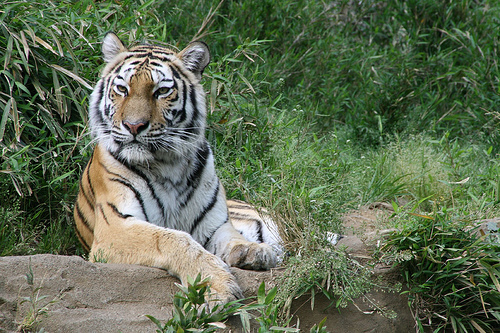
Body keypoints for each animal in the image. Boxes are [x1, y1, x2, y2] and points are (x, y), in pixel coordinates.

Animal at [75, 31, 282, 304]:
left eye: (162, 91)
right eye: (122, 89)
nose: (133, 125)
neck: (167, 165)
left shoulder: (214, 224)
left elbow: (232, 238)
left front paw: (254, 251)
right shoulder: (114, 227)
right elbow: (172, 238)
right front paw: (218, 286)